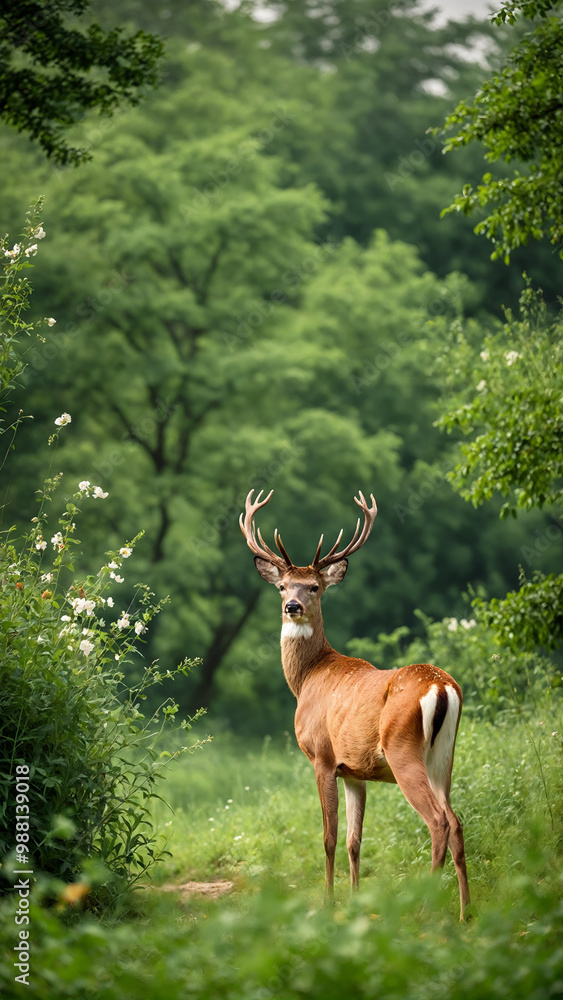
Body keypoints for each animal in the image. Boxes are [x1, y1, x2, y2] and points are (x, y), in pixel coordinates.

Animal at [239, 488, 470, 919]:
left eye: (314, 587)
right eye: (283, 586)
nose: (292, 607)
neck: (307, 677)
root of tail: (442, 686)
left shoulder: (322, 756)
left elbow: (329, 836)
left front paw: (329, 903)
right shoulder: (354, 771)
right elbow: (354, 840)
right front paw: (355, 901)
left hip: (402, 749)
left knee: (437, 821)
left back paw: (427, 909)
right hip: (444, 754)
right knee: (457, 820)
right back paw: (466, 912)